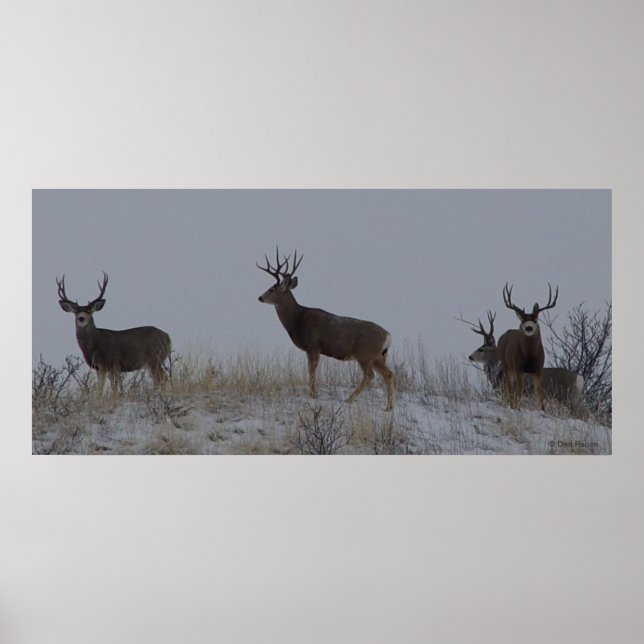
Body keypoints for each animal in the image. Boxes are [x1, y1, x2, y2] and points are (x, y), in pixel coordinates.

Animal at [256, 248, 394, 411]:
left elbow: (312, 371)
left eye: (271, 289)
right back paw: (388, 407)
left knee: (370, 376)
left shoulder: (313, 346)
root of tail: (388, 336)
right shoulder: (312, 349)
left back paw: (349, 400)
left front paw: (313, 395)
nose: (260, 297)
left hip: (365, 354)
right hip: (379, 356)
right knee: (388, 373)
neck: (297, 320)